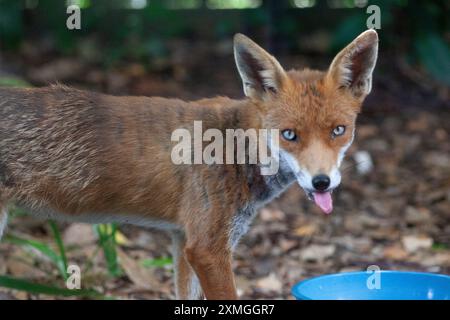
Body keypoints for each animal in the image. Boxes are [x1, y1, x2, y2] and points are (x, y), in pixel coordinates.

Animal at [0, 30, 378, 300]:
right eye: (289, 134)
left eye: (338, 130)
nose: (321, 182)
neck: (235, 147)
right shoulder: (208, 248)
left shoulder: (183, 240)